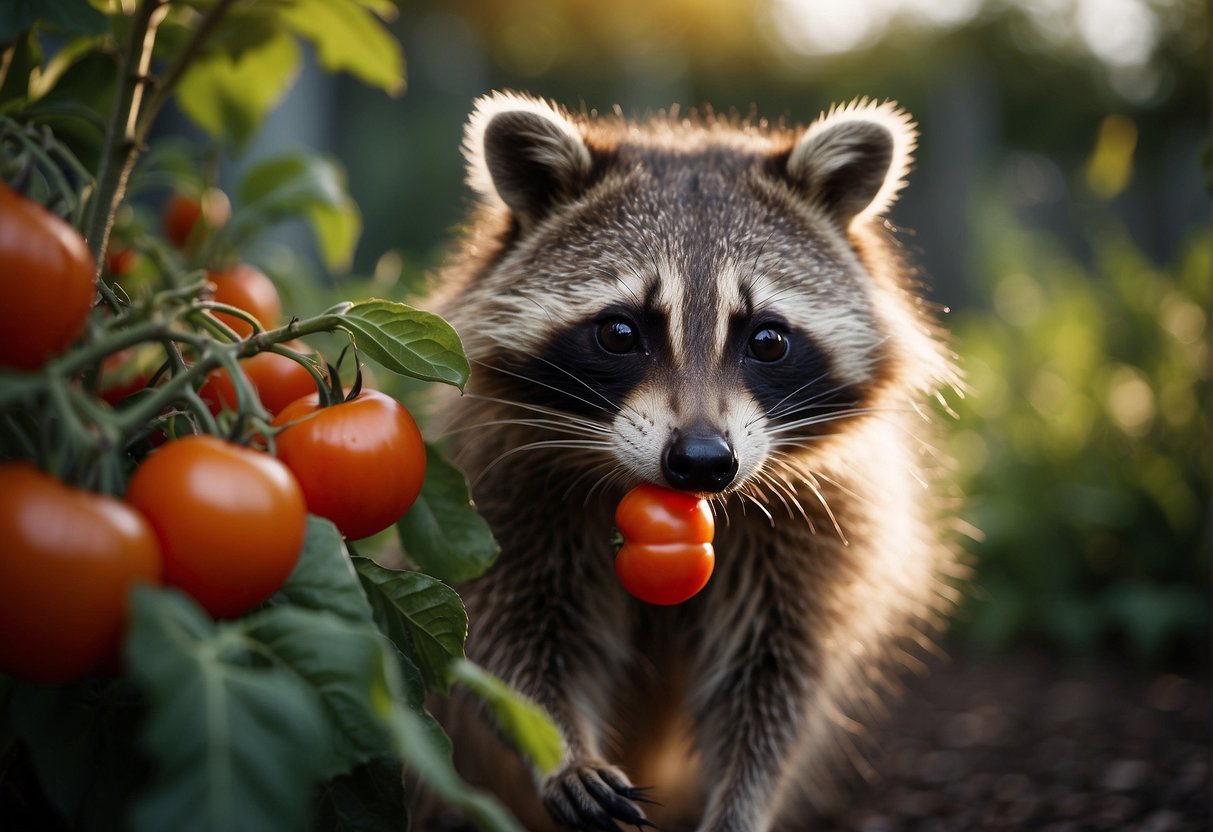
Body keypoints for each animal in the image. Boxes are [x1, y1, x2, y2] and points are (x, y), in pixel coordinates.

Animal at [419, 91, 961, 832]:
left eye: (767, 340)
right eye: (620, 332)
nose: (703, 462)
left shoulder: (816, 527)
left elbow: (774, 682)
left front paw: (744, 797)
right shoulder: (506, 491)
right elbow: (512, 641)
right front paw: (561, 748)